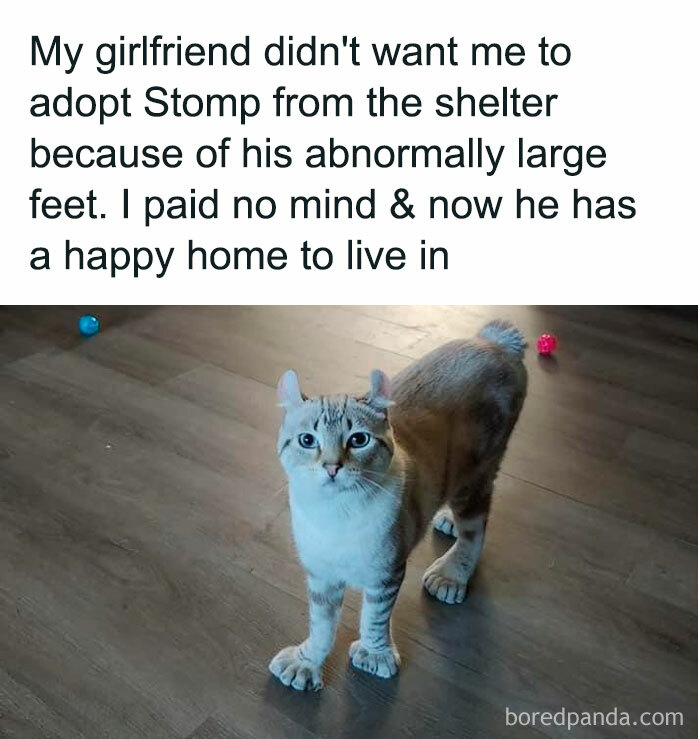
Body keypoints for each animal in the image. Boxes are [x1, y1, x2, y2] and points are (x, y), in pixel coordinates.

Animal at [268, 320, 524, 692]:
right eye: (307, 440)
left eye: (358, 439)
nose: (332, 467)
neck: (335, 518)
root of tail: (494, 341)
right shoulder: (321, 576)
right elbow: (321, 625)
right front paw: (307, 662)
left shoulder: (385, 573)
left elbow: (374, 619)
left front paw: (374, 655)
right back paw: (446, 520)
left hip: (474, 475)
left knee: (474, 530)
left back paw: (451, 574)